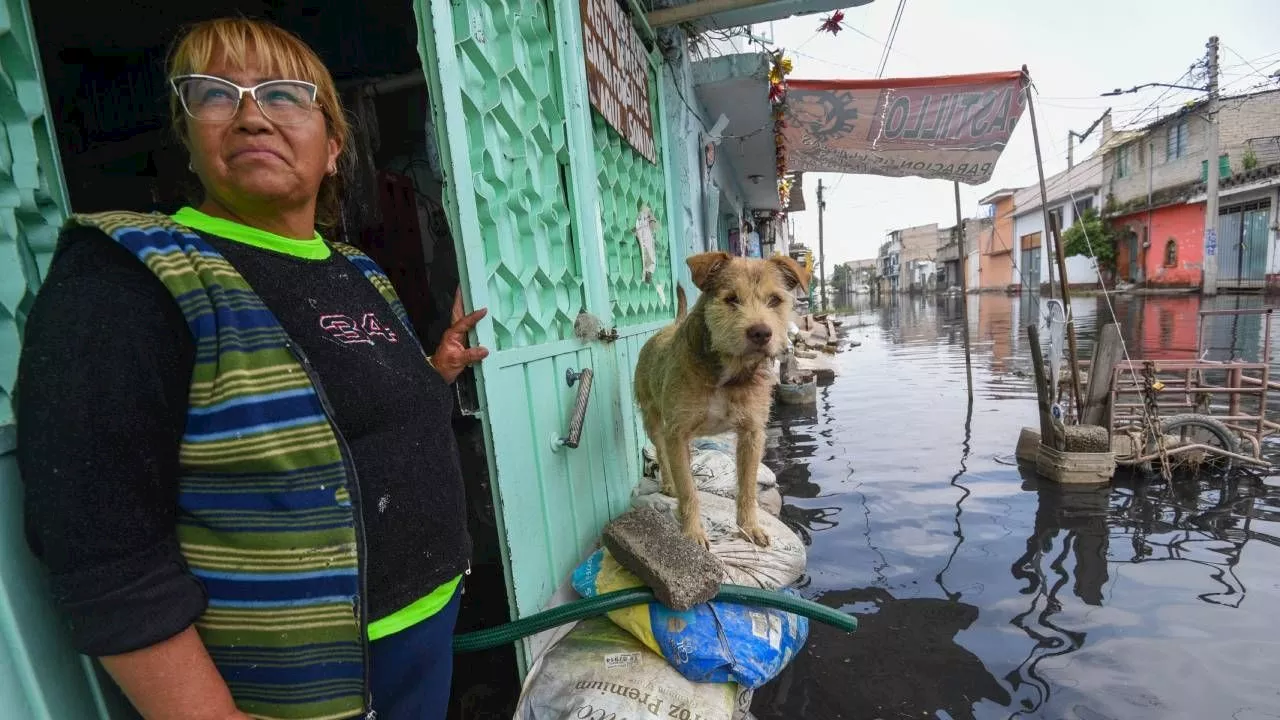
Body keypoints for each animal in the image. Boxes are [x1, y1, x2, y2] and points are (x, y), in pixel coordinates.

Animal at [637, 251, 808, 543]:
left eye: (775, 300)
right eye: (731, 299)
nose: (761, 333)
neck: (727, 375)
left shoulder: (752, 433)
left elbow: (748, 488)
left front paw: (749, 527)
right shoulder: (677, 433)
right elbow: (688, 491)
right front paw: (692, 533)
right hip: (653, 420)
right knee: (661, 452)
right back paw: (669, 484)